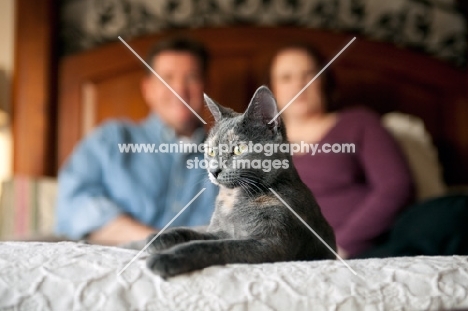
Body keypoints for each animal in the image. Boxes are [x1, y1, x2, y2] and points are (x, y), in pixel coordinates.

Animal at [146, 86, 336, 280]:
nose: (214, 171)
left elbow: (215, 246)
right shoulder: (219, 231)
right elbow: (197, 234)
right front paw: (160, 238)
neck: (234, 199)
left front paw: (166, 257)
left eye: (238, 149)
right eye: (211, 151)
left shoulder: (271, 244)